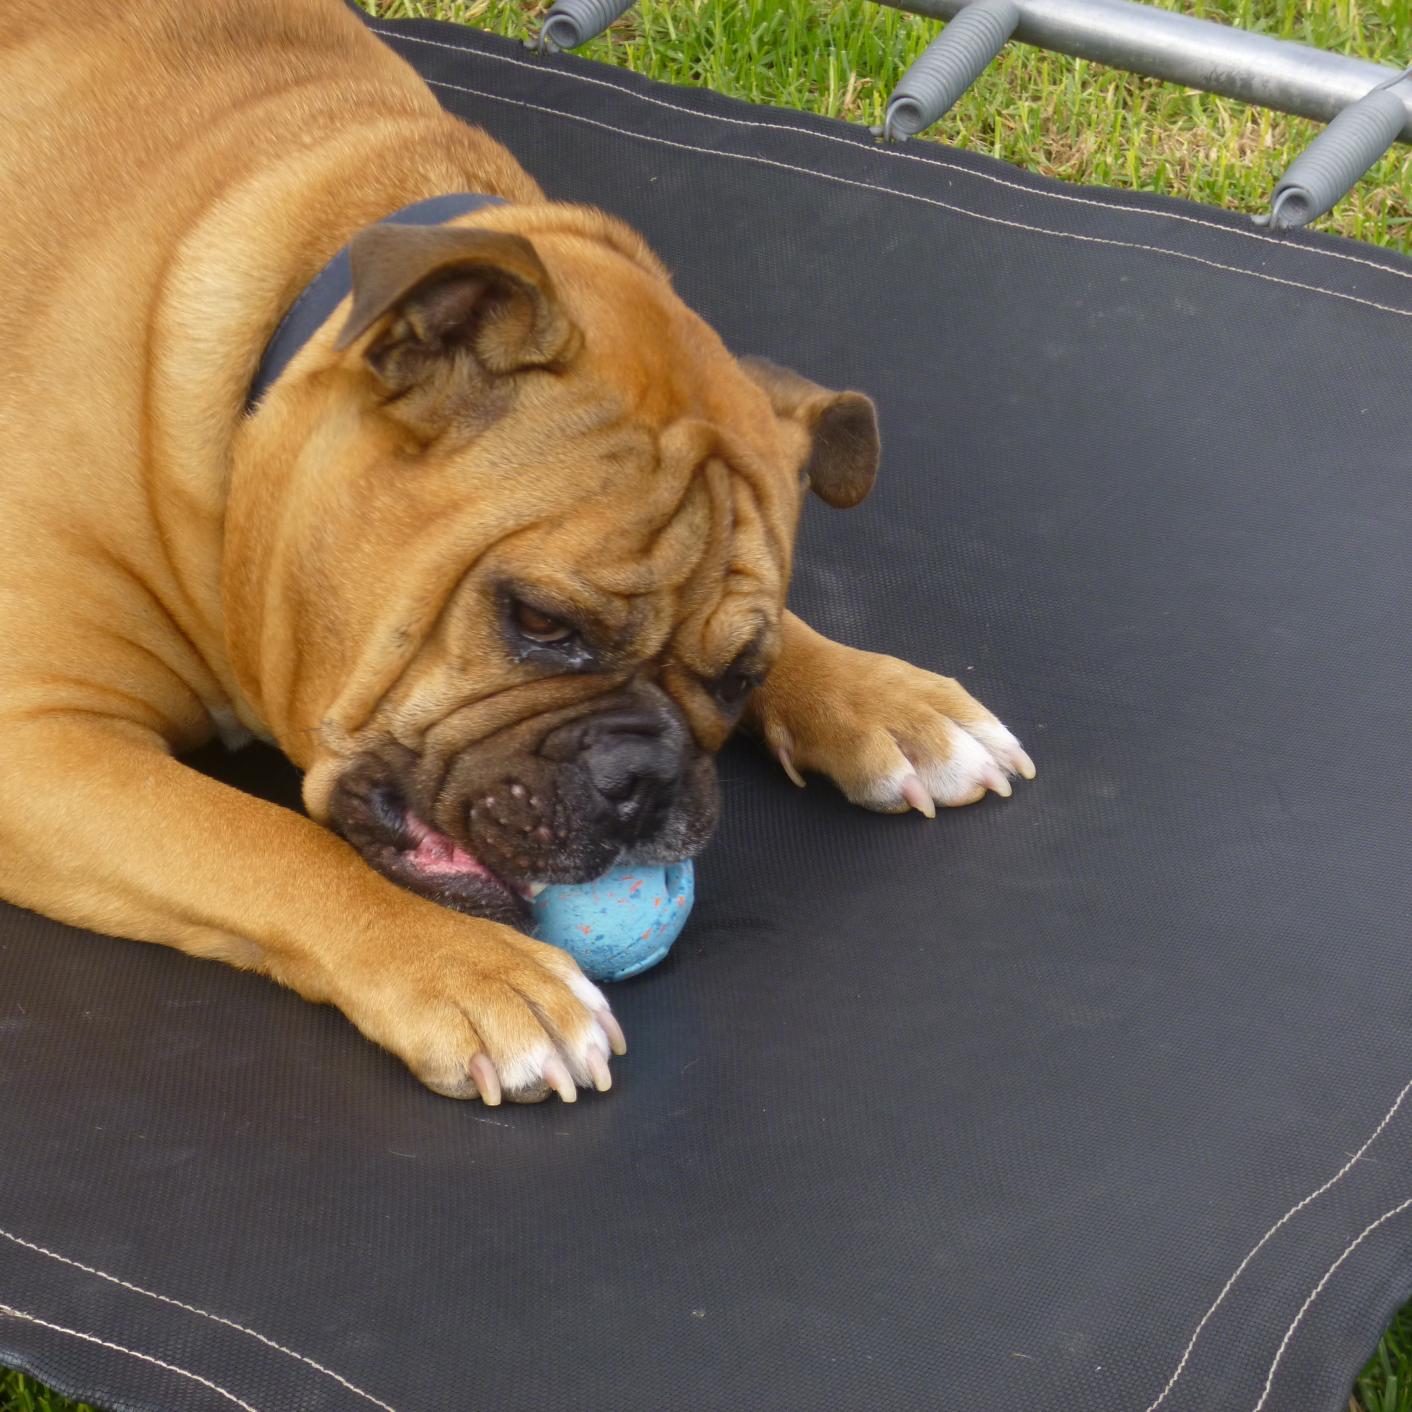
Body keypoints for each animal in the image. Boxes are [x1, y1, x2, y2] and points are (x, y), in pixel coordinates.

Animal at [0, 0, 1033, 1105]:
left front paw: (884, 699)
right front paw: (469, 970)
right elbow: (259, 839)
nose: (645, 773)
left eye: (738, 679)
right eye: (540, 621)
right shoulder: (38, 736)